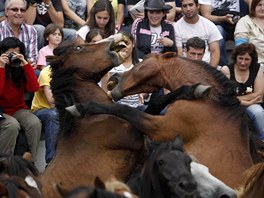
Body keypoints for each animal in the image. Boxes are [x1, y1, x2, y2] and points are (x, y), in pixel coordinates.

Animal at [66, 51, 260, 188]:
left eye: (143, 60)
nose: (114, 77)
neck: (212, 102)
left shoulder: (161, 128)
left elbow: (125, 109)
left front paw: (81, 108)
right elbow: (157, 101)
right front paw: (193, 89)